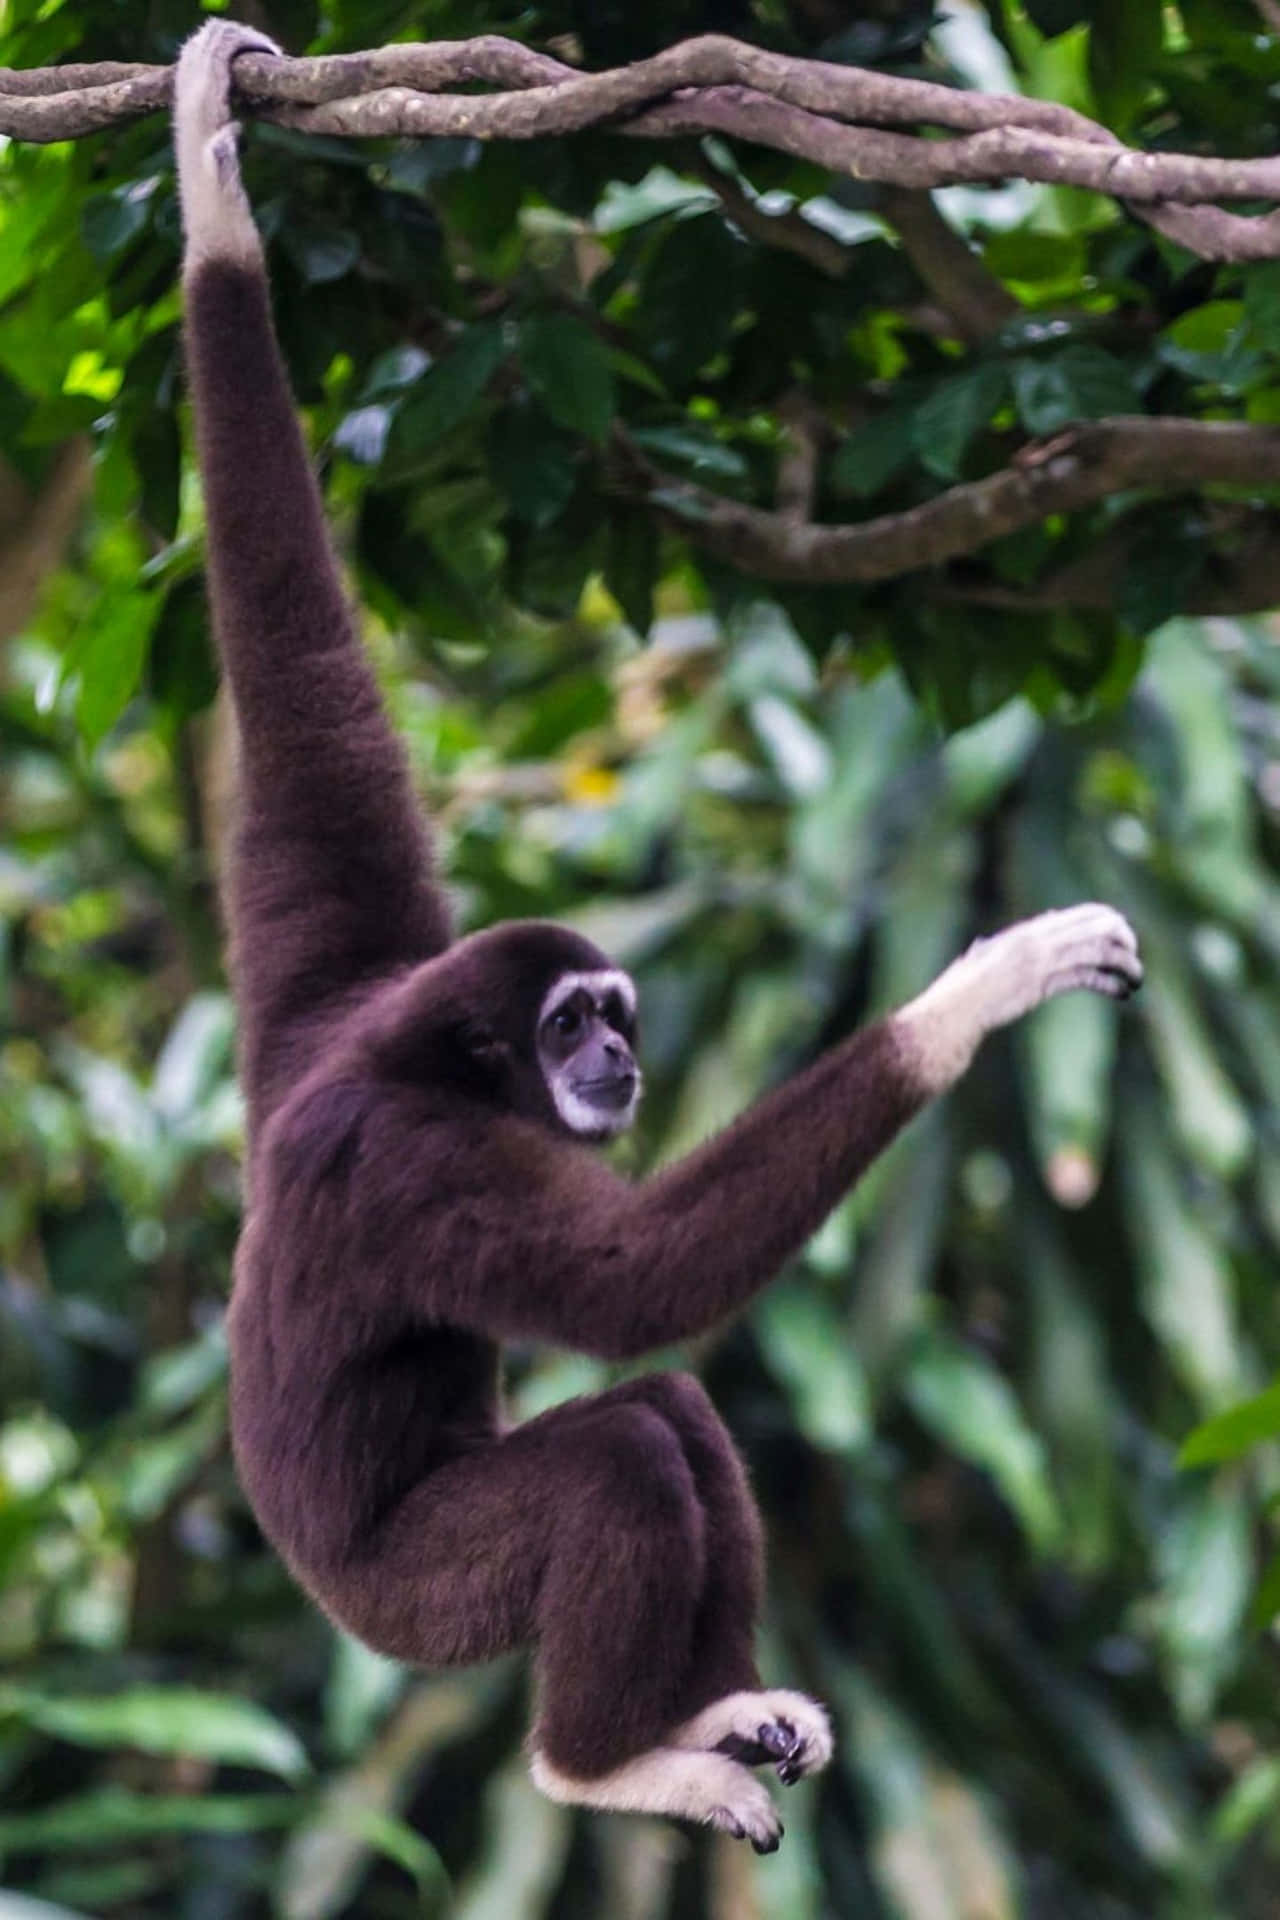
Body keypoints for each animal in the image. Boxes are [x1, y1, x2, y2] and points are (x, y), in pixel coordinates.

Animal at [173, 22, 1142, 1853]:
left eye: (618, 1011)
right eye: (572, 1025)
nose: (620, 1053)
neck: (422, 1059)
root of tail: (326, 1591)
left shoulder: (325, 1000)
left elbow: (303, 695)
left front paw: (214, 188)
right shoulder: (424, 1163)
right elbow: (638, 1286)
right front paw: (989, 983)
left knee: (676, 1415)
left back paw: (710, 1711)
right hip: (427, 1602)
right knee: (622, 1443)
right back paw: (607, 1760)